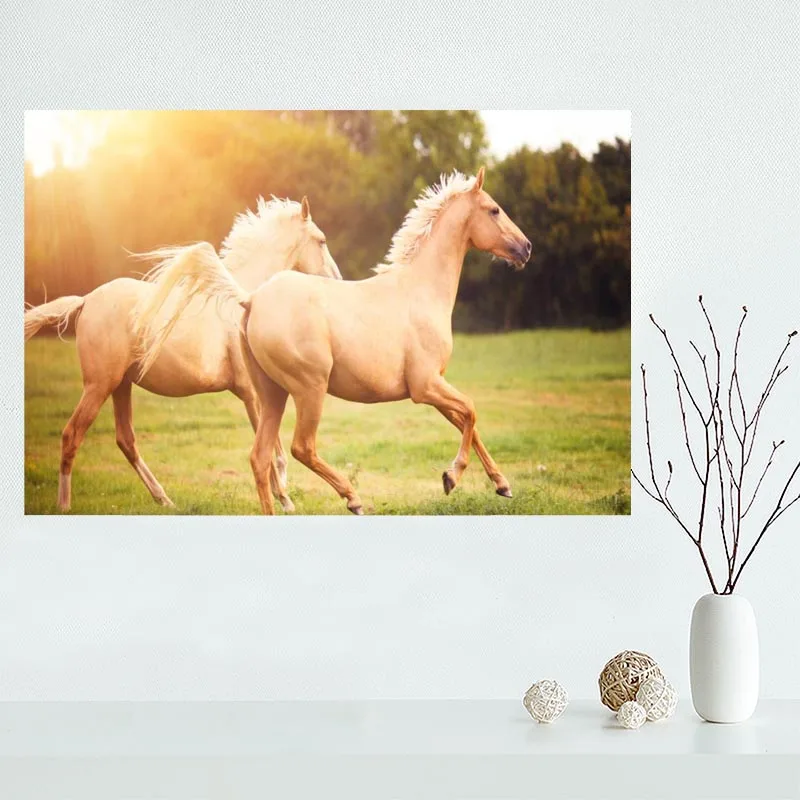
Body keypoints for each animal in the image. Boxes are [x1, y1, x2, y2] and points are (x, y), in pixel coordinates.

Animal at [24, 195, 341, 513]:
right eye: (322, 240)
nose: (336, 280)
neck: (244, 301)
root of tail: (86, 300)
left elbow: (274, 451)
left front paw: (284, 498)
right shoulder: (253, 394)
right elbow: (271, 453)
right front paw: (285, 500)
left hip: (121, 385)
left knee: (126, 440)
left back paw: (164, 499)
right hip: (98, 385)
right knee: (72, 435)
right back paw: (64, 505)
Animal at [137, 168, 531, 514]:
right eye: (494, 209)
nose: (526, 248)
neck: (419, 291)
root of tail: (251, 299)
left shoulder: (435, 385)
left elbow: (468, 423)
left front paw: (502, 485)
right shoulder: (425, 386)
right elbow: (471, 411)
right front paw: (451, 477)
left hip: (271, 394)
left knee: (260, 457)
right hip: (310, 388)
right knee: (301, 447)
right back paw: (353, 499)